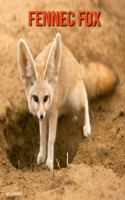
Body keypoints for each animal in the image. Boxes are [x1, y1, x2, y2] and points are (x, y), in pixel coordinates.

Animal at [17, 32, 118, 170]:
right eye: (35, 98)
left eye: (46, 98)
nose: (41, 115)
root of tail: (77, 64)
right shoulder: (44, 116)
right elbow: (43, 137)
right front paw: (41, 156)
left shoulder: (52, 113)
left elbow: (51, 139)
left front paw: (49, 162)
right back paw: (75, 116)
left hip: (75, 99)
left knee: (86, 100)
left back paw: (87, 127)